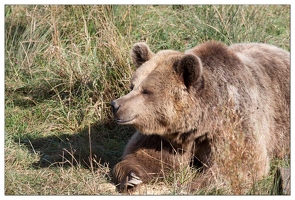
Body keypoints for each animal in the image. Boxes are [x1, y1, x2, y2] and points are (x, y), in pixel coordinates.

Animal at [111, 41, 292, 194]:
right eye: (132, 86)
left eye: (146, 91)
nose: (115, 105)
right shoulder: (169, 136)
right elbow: (151, 157)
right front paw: (131, 177)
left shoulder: (233, 123)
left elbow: (239, 166)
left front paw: (188, 188)